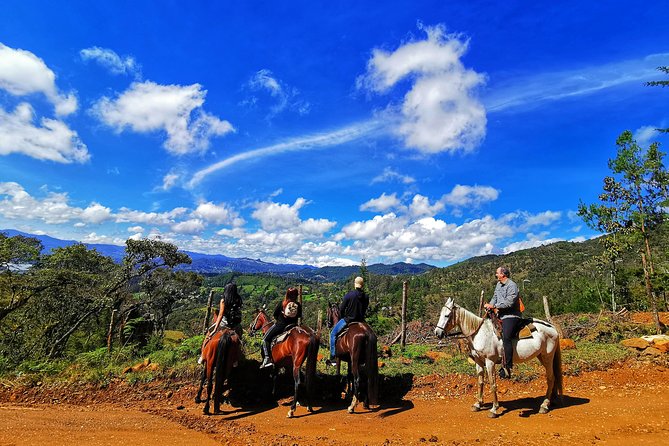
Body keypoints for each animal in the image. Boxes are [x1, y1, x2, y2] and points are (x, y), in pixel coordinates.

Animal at [434, 298, 564, 416]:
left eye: (447, 315)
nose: (437, 333)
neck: (479, 333)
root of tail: (552, 328)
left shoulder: (489, 361)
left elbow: (492, 384)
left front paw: (494, 409)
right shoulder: (478, 361)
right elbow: (480, 382)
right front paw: (478, 404)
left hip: (547, 356)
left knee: (550, 378)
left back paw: (544, 405)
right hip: (541, 356)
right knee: (553, 377)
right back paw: (551, 401)